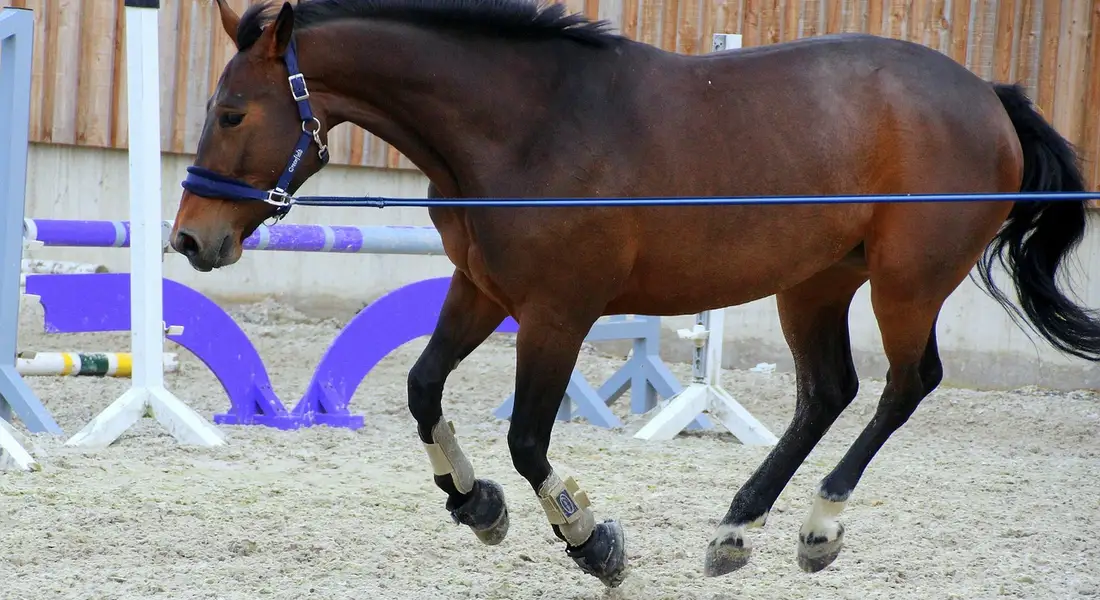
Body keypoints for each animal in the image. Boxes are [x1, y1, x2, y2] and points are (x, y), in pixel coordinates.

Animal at [170, 0, 1100, 588]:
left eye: (233, 112)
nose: (189, 239)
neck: (528, 126)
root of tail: (989, 97)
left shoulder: (557, 314)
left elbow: (528, 440)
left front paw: (590, 541)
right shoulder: (481, 290)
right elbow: (423, 388)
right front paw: (475, 503)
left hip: (905, 283)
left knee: (905, 386)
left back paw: (819, 526)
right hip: (817, 281)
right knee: (827, 391)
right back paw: (736, 530)